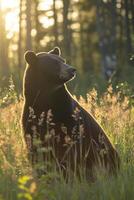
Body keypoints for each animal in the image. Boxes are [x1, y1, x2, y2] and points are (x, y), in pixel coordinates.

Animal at [21, 47, 120, 180]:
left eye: (63, 60)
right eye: (54, 63)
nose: (72, 69)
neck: (46, 98)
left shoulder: (68, 115)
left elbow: (70, 148)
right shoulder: (31, 114)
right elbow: (34, 145)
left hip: (105, 152)